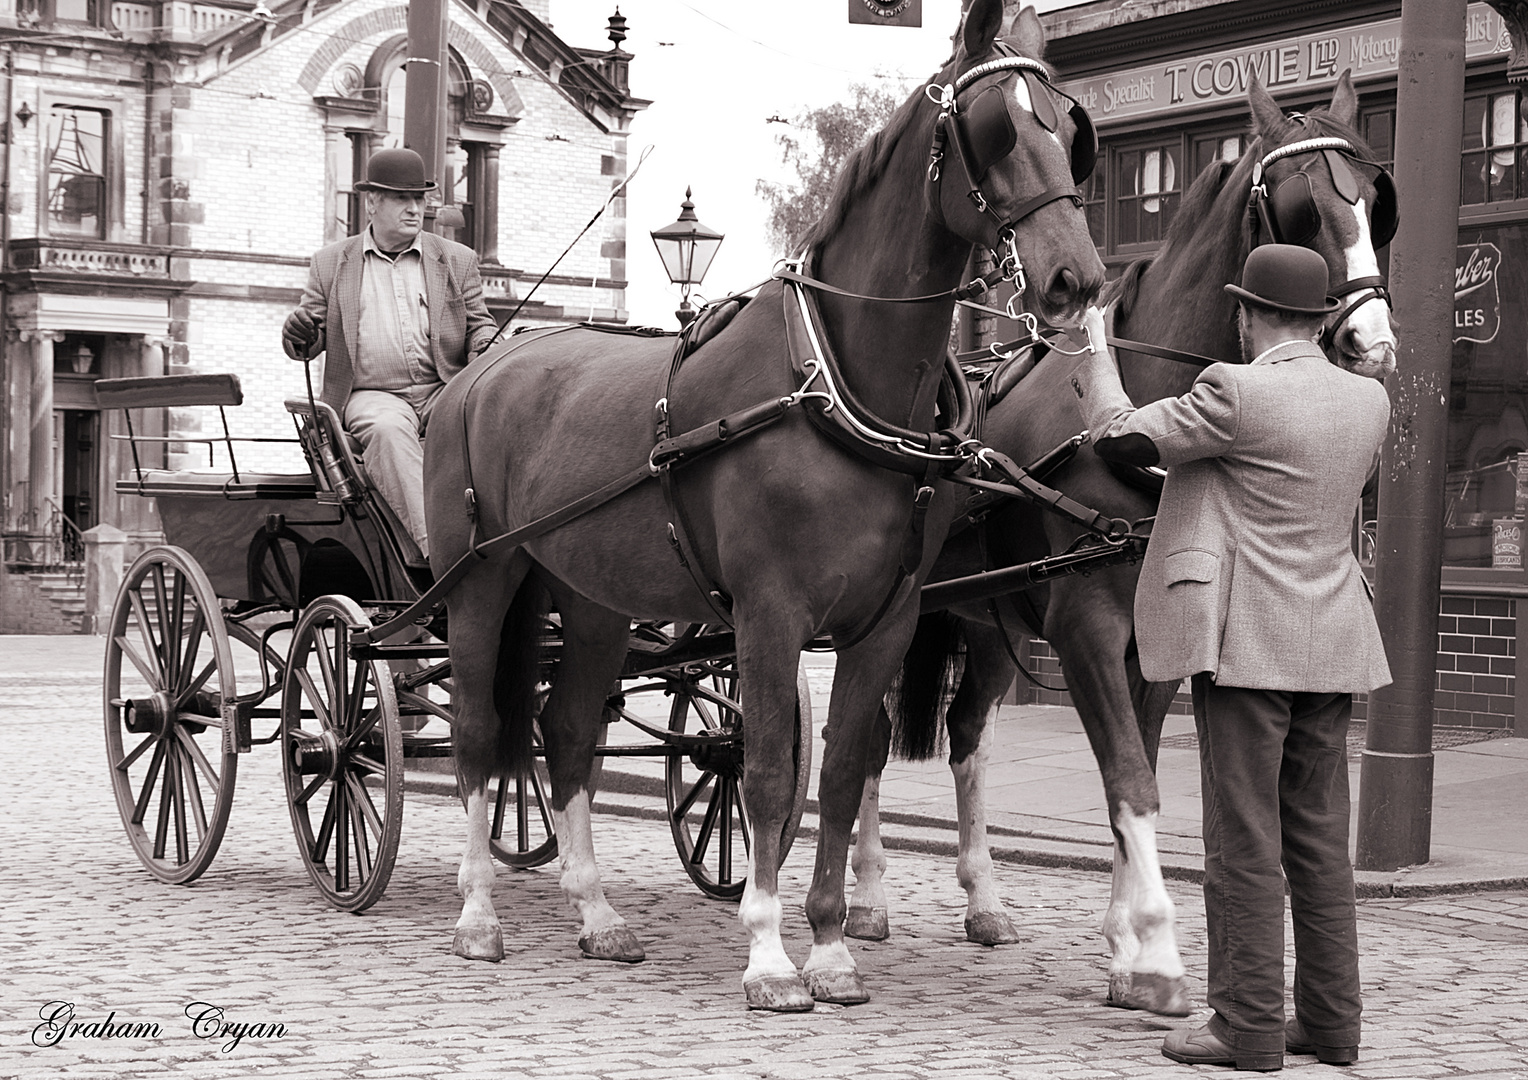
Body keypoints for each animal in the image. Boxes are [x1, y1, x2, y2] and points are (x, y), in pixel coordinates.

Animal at [424, 0, 1106, 1014]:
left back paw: (595, 914)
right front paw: (770, 956)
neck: (835, 385)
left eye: (1068, 129)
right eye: (994, 131)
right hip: (482, 578)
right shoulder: (770, 612)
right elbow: (772, 772)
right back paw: (477, 916)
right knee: (475, 730)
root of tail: (480, 371)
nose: (1076, 280)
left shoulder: (886, 619)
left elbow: (845, 767)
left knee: (567, 730)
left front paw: (829, 946)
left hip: (590, 596)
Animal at [849, 69, 1399, 1020]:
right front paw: (1157, 954)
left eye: (1374, 200)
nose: (1374, 343)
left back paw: (985, 900)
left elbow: (1131, 774)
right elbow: (1130, 781)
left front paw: (1125, 945)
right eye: (1302, 209)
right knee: (874, 741)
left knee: (966, 737)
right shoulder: (1090, 630)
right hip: (902, 612)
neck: (1142, 420)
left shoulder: (1158, 640)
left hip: (989, 626)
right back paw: (871, 898)